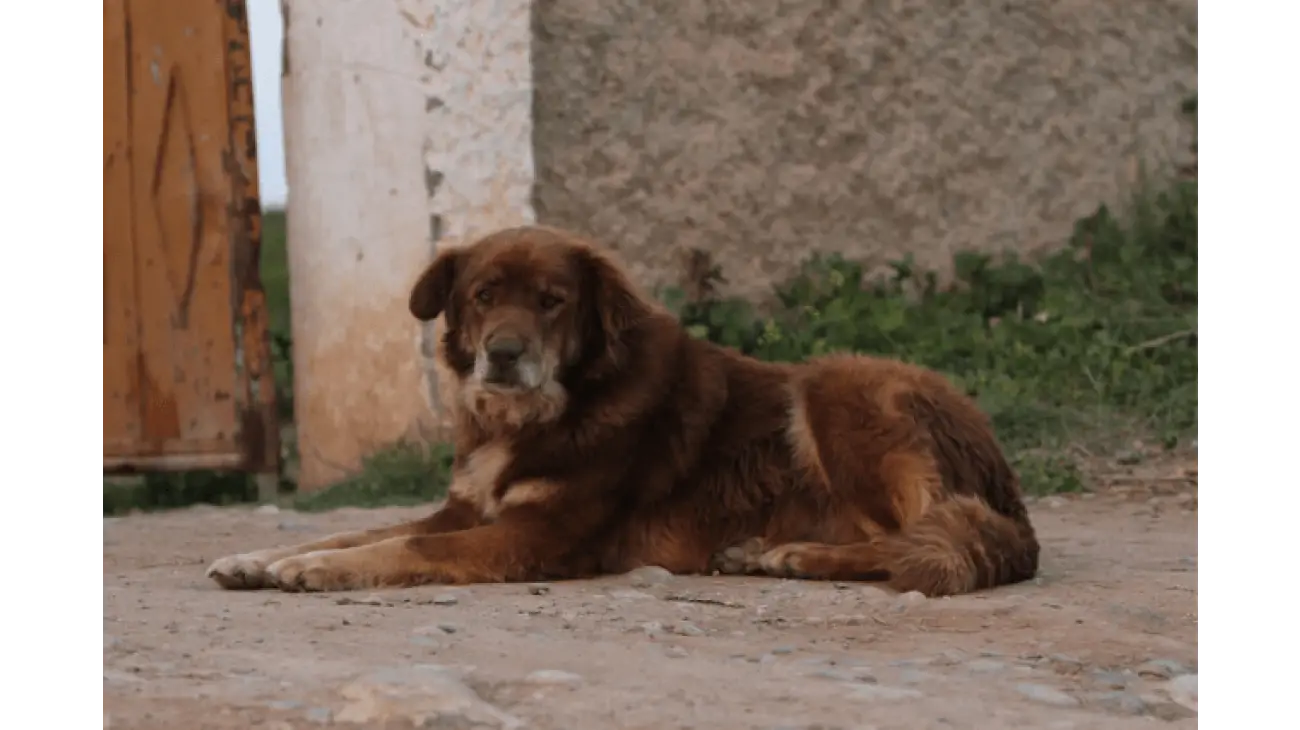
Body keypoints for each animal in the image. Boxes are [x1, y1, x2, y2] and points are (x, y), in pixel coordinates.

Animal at [208, 224, 1040, 594]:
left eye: (551, 301)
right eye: (483, 296)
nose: (502, 354)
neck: (541, 415)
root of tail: (1008, 492)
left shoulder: (534, 536)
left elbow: (401, 546)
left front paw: (311, 567)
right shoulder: (465, 509)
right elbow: (367, 527)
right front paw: (262, 557)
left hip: (843, 386)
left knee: (912, 539)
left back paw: (789, 554)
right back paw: (770, 553)